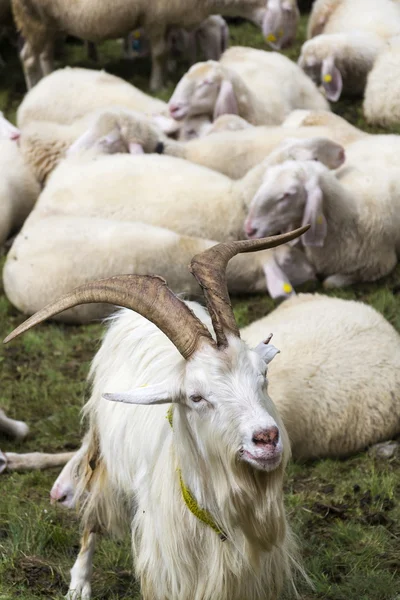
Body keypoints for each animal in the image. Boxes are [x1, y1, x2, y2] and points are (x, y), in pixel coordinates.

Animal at [4, 227, 308, 600]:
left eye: (263, 376)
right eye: (195, 397)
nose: (266, 438)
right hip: (105, 454)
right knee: (93, 516)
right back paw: (79, 584)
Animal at [12, 0, 268, 90]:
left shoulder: (166, 21)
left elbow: (169, 50)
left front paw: (167, 78)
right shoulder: (156, 17)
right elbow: (160, 54)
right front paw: (157, 86)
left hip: (48, 23)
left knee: (45, 56)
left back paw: (49, 81)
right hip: (33, 20)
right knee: (28, 58)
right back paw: (33, 88)